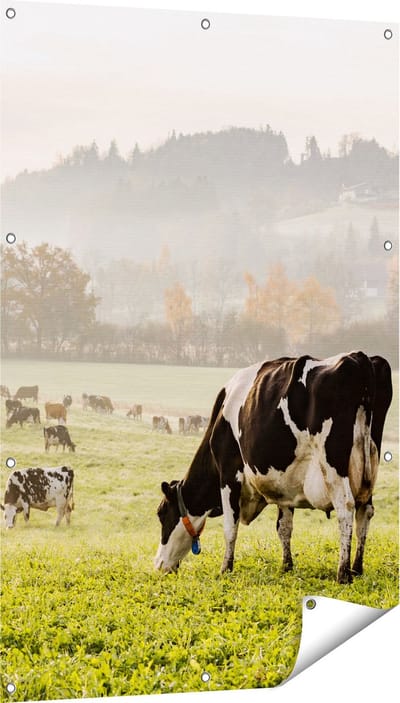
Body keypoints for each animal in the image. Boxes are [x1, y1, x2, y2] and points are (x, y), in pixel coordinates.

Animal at [155, 352, 392, 584]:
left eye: (161, 513)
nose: (158, 564)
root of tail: (359, 357)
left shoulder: (229, 473)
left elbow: (230, 527)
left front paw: (225, 569)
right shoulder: (284, 483)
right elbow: (284, 526)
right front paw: (286, 566)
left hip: (334, 466)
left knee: (346, 508)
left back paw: (343, 573)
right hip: (369, 468)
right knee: (365, 511)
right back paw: (357, 568)